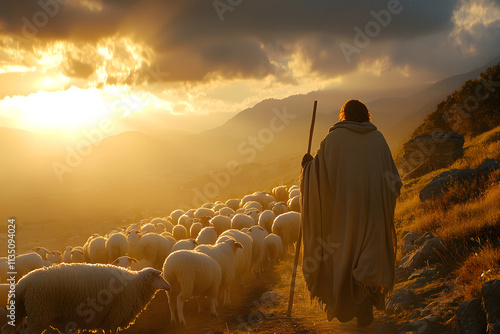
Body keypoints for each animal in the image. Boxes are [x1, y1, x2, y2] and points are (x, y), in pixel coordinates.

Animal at [0, 264, 171, 334]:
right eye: (159, 276)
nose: (169, 287)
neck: (135, 285)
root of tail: (22, 284)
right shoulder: (114, 316)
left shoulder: (107, 319)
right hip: (39, 315)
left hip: (20, 311)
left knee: (7, 329)